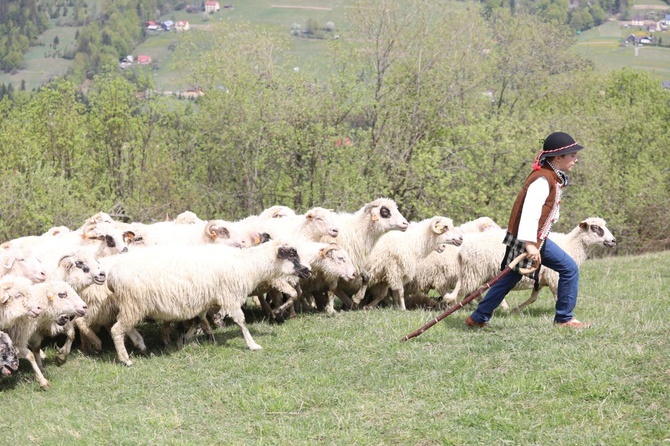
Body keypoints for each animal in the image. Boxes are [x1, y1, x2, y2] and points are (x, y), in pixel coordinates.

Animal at [107, 240, 312, 366]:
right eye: (292, 254)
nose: (308, 271)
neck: (247, 265)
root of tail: (111, 275)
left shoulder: (205, 300)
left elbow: (198, 320)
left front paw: (185, 340)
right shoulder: (229, 295)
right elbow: (241, 321)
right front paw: (253, 345)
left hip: (131, 305)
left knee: (124, 326)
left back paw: (140, 343)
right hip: (133, 303)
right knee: (116, 329)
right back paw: (126, 359)